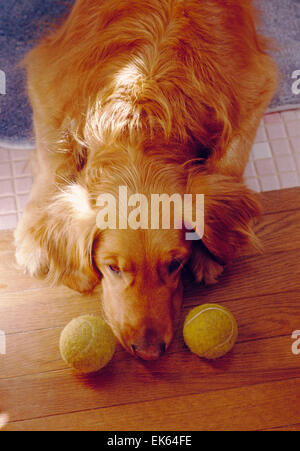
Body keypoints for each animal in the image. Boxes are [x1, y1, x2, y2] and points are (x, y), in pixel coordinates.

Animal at [14, 0, 276, 360]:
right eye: (112, 268)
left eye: (176, 264)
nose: (149, 352)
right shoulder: (46, 83)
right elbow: (53, 157)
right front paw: (32, 240)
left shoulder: (256, 85)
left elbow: (230, 159)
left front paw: (209, 252)